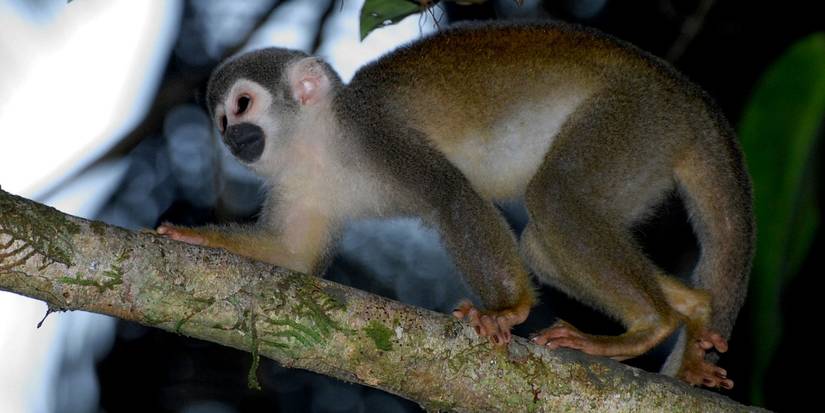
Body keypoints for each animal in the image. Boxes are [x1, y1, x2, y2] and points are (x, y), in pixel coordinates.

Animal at [156, 21, 754, 390]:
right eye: (222, 121)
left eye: (242, 105)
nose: (233, 138)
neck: (319, 142)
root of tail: (689, 97)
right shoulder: (297, 183)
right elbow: (293, 255)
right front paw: (196, 236)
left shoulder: (378, 134)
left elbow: (452, 195)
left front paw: (507, 309)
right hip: (644, 159)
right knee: (542, 240)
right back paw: (692, 308)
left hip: (633, 121)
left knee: (554, 197)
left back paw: (651, 324)